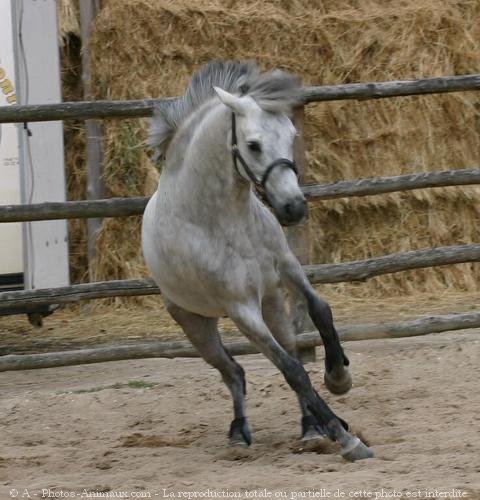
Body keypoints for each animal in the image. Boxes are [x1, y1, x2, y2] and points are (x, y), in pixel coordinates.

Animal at [141, 61, 374, 460]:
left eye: (292, 133)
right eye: (253, 144)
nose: (293, 208)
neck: (223, 222)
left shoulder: (287, 269)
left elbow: (320, 310)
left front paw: (339, 378)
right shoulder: (241, 309)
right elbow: (292, 370)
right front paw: (347, 439)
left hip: (273, 305)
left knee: (286, 349)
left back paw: (310, 429)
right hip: (195, 324)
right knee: (233, 371)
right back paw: (239, 435)